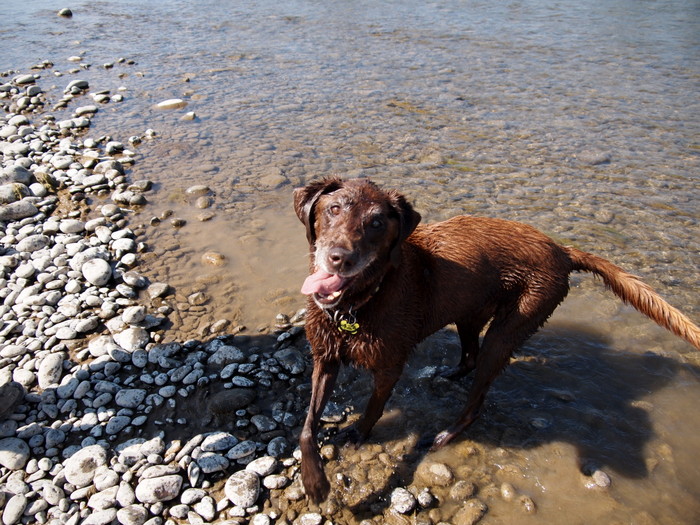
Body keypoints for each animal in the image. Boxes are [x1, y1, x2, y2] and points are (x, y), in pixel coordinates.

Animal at [292, 177, 696, 504]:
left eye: (376, 223)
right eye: (332, 209)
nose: (340, 258)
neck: (356, 305)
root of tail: (563, 251)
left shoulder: (390, 366)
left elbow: (373, 409)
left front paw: (358, 436)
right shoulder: (324, 359)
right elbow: (307, 427)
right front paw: (315, 482)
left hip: (509, 329)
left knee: (477, 397)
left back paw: (443, 435)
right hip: (469, 314)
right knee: (469, 358)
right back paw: (448, 376)